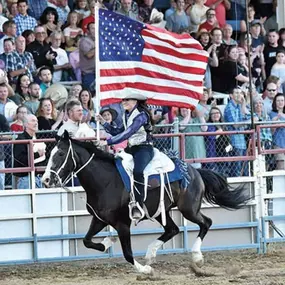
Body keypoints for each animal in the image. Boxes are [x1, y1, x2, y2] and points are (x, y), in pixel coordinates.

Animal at [42, 132, 248, 274]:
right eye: (50, 153)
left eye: (60, 154)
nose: (45, 180)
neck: (106, 181)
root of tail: (194, 170)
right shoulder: (99, 219)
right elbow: (86, 240)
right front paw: (107, 242)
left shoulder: (122, 224)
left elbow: (127, 253)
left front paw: (143, 270)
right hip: (160, 212)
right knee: (172, 229)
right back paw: (151, 253)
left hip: (188, 209)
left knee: (206, 223)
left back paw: (196, 257)